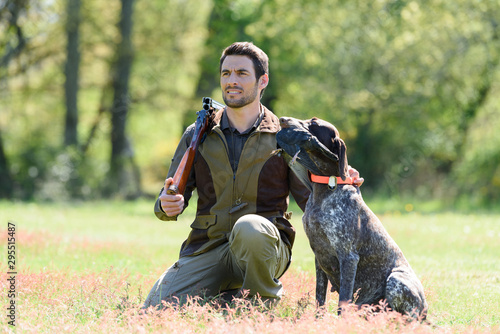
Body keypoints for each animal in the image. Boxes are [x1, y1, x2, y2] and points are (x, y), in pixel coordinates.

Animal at [276, 117, 428, 318]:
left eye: (313, 124)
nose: (283, 120)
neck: (326, 188)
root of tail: (426, 312)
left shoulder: (348, 257)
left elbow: (343, 300)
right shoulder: (319, 258)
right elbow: (320, 299)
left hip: (396, 280)